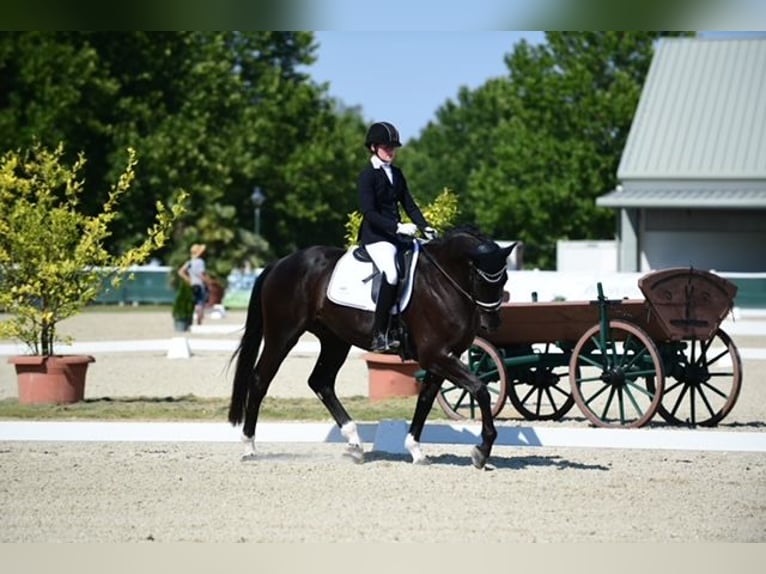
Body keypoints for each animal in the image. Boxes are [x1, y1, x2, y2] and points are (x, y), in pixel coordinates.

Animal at [226, 227, 516, 470]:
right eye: (480, 278)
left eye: (504, 279)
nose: (492, 324)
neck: (442, 282)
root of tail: (280, 263)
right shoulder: (435, 355)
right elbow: (480, 389)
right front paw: (481, 450)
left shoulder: (443, 358)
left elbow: (426, 399)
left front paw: (416, 451)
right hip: (283, 335)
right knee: (260, 380)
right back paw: (249, 447)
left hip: (335, 341)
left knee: (320, 382)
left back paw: (354, 443)